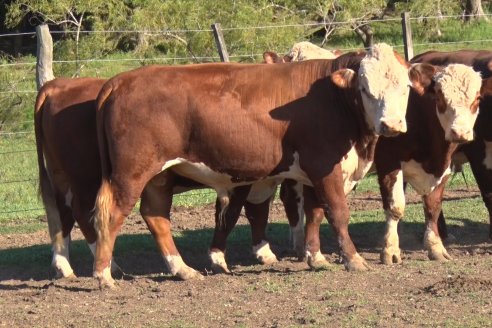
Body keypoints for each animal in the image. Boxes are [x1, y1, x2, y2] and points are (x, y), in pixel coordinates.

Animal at [92, 43, 416, 288]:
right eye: (365, 88)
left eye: (406, 87)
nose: (392, 125)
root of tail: (120, 81)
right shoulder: (324, 166)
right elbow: (337, 213)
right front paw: (353, 259)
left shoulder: (313, 173)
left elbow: (314, 214)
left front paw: (316, 258)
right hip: (131, 174)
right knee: (111, 214)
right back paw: (104, 275)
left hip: (159, 176)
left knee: (155, 216)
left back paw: (182, 269)